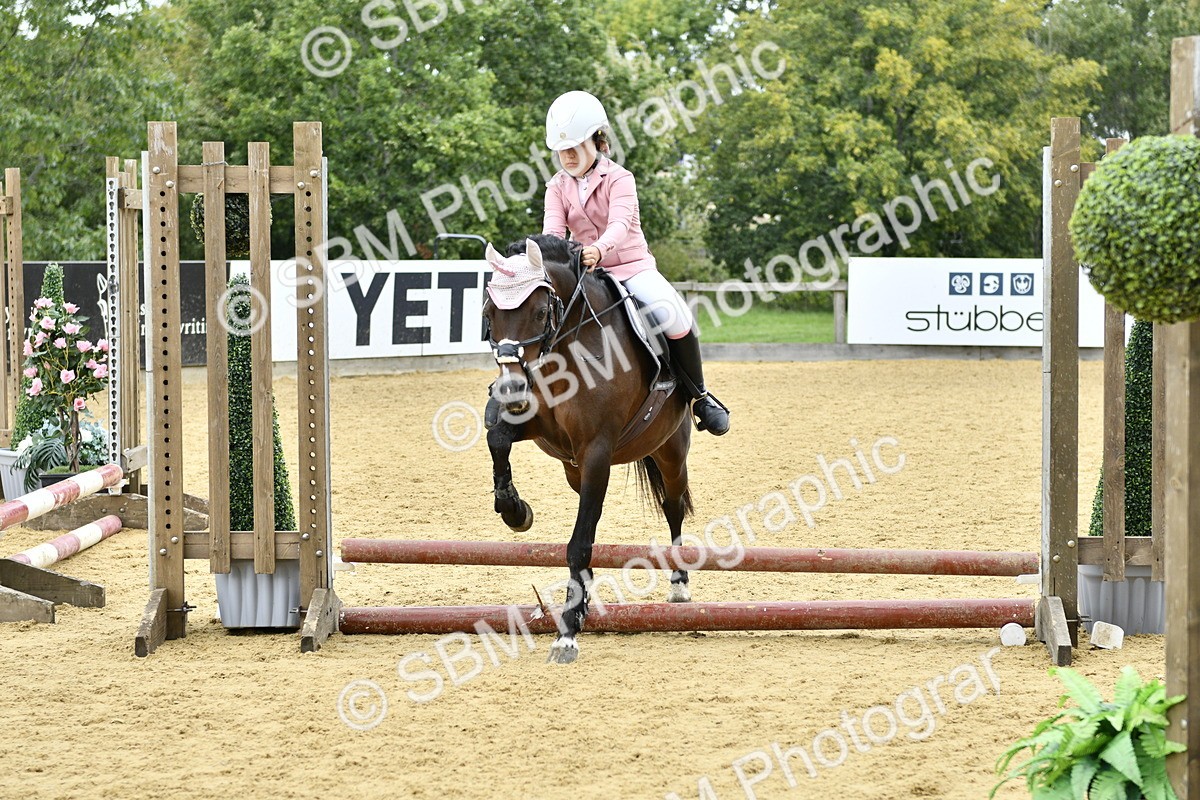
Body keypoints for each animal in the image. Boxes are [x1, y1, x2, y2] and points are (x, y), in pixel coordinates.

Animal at [483, 234, 694, 664]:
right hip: (573, 468)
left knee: (673, 505)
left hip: (670, 453)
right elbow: (497, 439)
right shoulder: (540, 429)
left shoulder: (596, 449)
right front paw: (515, 510)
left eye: (540, 311)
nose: (511, 388)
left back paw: (679, 582)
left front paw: (566, 633)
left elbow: (579, 543)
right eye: (490, 313)